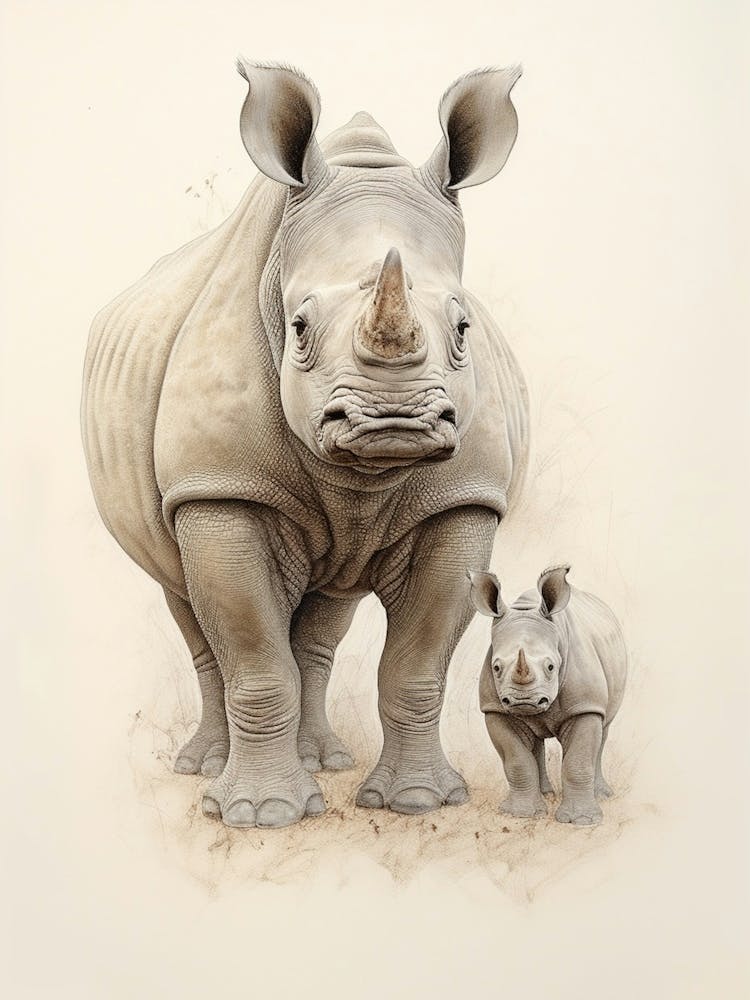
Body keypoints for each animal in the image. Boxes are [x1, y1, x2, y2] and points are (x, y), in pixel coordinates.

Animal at [81, 60, 529, 829]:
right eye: (297, 328)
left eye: (464, 328)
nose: (392, 421)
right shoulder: (217, 488)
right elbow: (255, 660)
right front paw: (259, 816)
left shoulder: (463, 499)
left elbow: (417, 663)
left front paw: (417, 802)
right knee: (187, 602)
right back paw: (205, 771)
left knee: (327, 610)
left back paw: (327, 763)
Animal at [468, 565, 627, 825]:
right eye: (496, 667)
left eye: (551, 667)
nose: (524, 701)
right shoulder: (495, 708)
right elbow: (517, 760)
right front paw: (520, 814)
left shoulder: (585, 705)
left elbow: (578, 761)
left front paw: (581, 821)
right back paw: (546, 795)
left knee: (603, 730)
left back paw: (602, 795)